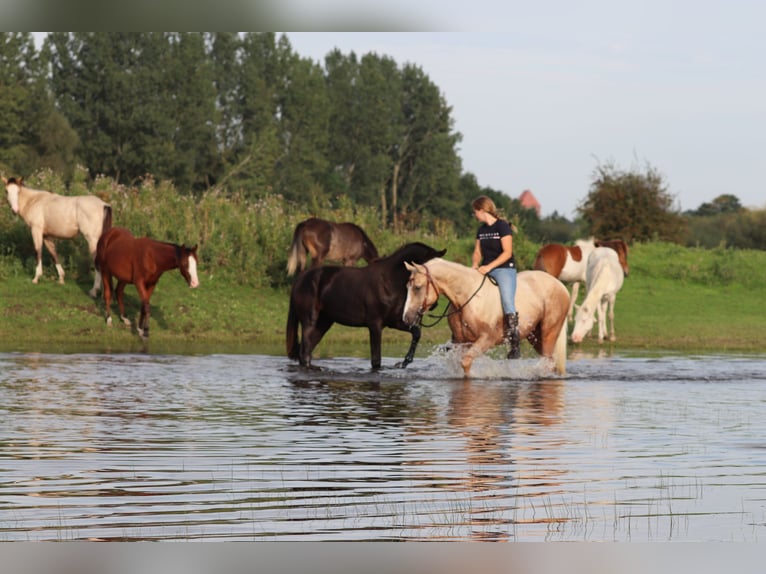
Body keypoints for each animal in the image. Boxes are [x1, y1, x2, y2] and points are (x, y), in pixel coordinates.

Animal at [284, 242, 448, 368]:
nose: (434, 304)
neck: (389, 281)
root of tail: (301, 279)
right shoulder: (375, 325)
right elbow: (376, 360)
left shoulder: (395, 322)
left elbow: (416, 332)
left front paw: (405, 362)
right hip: (309, 321)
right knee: (304, 352)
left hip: (323, 323)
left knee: (307, 351)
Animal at [404, 260, 572, 378]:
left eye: (417, 287)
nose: (406, 318)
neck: (467, 297)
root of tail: (560, 285)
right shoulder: (461, 341)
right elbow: (458, 362)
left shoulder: (487, 339)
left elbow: (466, 361)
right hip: (535, 336)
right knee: (551, 362)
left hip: (549, 332)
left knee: (547, 362)